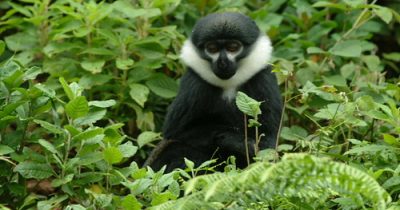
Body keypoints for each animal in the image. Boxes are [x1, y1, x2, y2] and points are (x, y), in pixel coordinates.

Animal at [145, 11, 282, 172]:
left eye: (232, 47)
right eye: (212, 49)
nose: (222, 62)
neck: (229, 84)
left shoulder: (265, 79)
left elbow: (269, 138)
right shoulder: (194, 86)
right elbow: (177, 134)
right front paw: (236, 141)